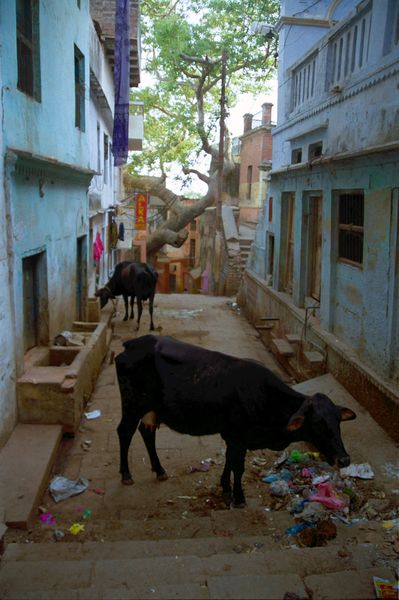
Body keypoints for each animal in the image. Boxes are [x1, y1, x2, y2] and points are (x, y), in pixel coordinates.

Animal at [115, 332, 356, 506]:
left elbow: (229, 462)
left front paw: (226, 488)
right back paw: (126, 474)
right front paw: (238, 497)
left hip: (151, 410)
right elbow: (237, 467)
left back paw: (160, 470)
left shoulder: (233, 438)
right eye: (317, 423)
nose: (344, 459)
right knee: (124, 432)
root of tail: (132, 344)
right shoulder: (238, 437)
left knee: (147, 433)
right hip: (132, 405)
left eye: (337, 421)